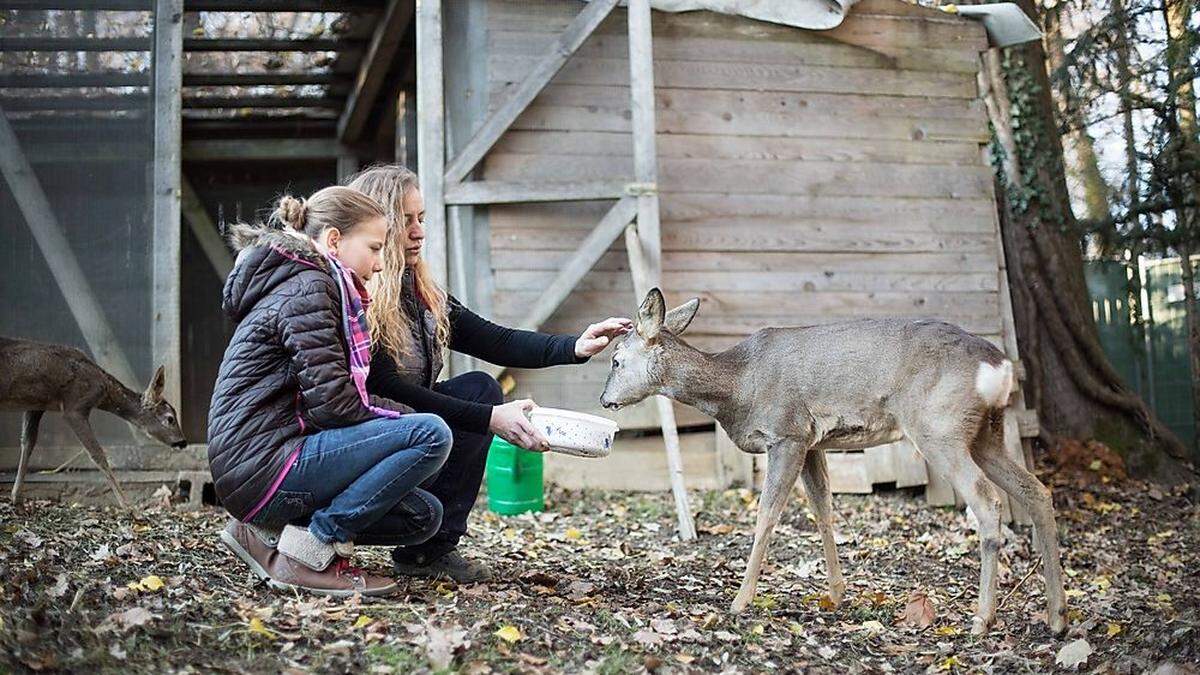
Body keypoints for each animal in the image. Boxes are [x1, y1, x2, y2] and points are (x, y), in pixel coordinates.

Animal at [0, 333, 187, 506]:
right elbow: (98, 454)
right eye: (170, 419)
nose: (183, 442)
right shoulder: (74, 407)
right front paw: (129, 508)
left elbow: (28, 442)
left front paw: (16, 498)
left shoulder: (36, 405)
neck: (104, 389)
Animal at [600, 289, 1070, 629]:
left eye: (617, 359)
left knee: (987, 501)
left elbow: (767, 515)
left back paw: (982, 619)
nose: (605, 400)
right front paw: (838, 594)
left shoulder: (786, 433)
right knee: (1037, 491)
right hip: (986, 434)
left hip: (940, 427)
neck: (738, 386)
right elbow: (823, 511)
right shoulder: (813, 443)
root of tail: (1000, 367)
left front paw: (740, 600)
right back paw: (1057, 617)